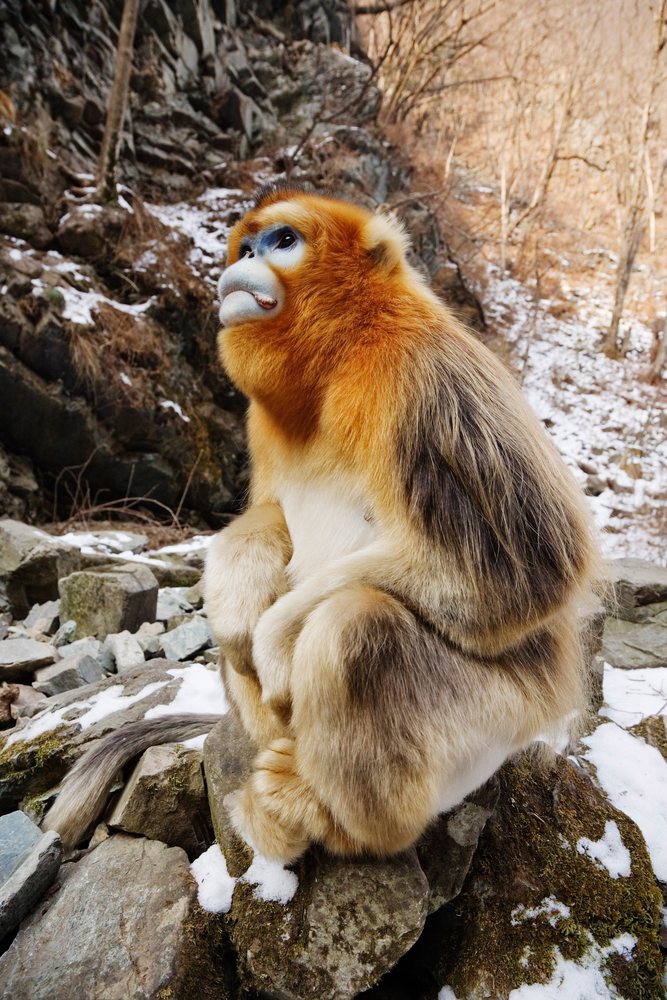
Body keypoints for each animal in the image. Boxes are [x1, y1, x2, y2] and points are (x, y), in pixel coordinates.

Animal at [43, 185, 599, 861]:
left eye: (283, 241)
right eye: (247, 246)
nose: (245, 261)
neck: (340, 357)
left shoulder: (424, 373)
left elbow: (526, 568)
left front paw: (276, 639)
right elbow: (268, 517)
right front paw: (240, 597)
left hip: (495, 726)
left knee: (353, 629)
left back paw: (327, 815)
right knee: (249, 642)